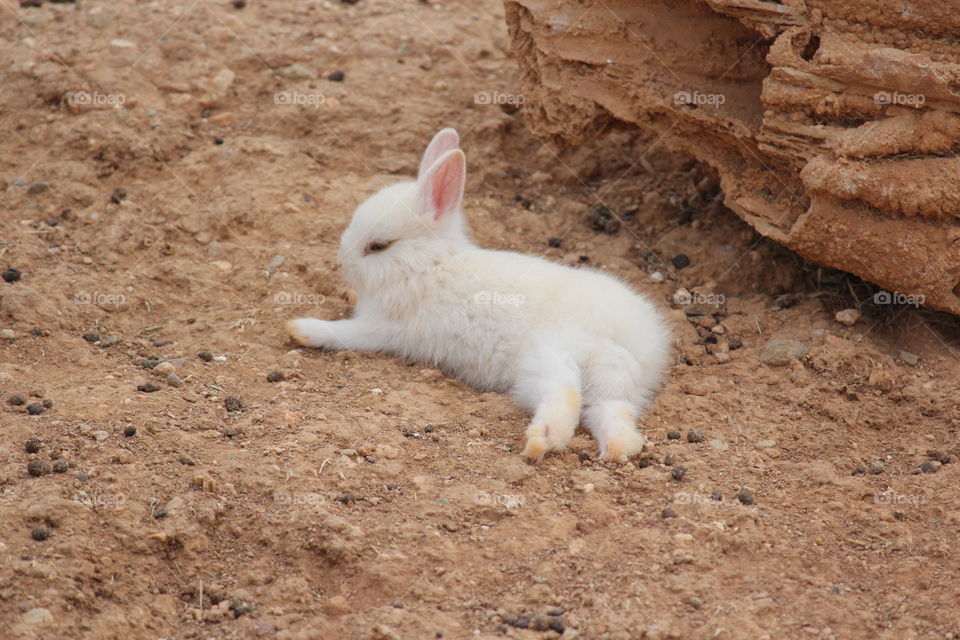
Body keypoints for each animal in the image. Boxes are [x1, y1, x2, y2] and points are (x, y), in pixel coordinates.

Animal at [288, 129, 672, 460]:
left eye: (378, 246)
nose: (341, 264)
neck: (429, 263)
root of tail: (627, 336)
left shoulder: (381, 328)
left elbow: (343, 332)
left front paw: (300, 328)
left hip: (549, 355)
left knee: (565, 392)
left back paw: (542, 440)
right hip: (613, 382)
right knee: (613, 416)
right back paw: (615, 449)